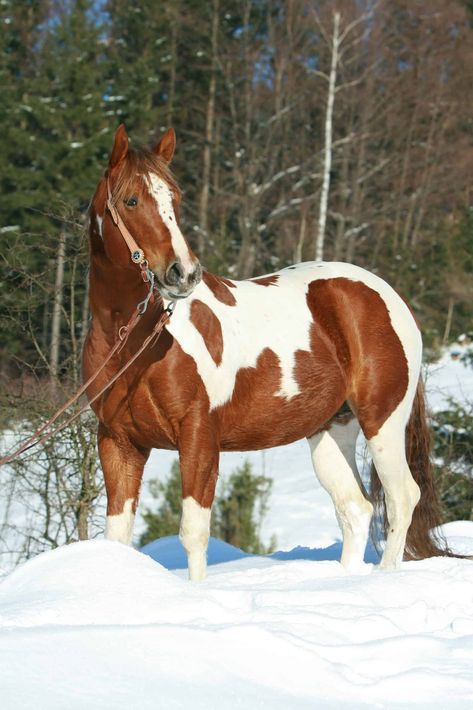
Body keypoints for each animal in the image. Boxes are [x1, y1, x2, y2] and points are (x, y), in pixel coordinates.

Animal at [85, 126, 446, 584]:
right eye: (131, 200)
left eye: (175, 198)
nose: (183, 273)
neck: (137, 342)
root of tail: (388, 296)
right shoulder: (118, 442)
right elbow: (117, 538)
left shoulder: (199, 437)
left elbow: (193, 534)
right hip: (332, 429)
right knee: (356, 508)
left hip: (383, 422)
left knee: (401, 498)